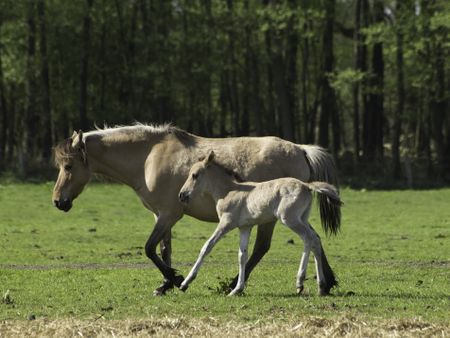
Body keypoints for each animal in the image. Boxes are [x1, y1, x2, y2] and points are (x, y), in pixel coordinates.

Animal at [178, 151, 342, 296]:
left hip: (290, 219)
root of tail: (306, 186)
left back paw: (300, 282)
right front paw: (236, 290)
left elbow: (206, 247)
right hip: (303, 218)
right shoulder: (245, 227)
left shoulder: (225, 224)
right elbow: (242, 256)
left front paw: (185, 283)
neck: (228, 191)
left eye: (195, 175)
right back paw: (320, 286)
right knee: (315, 240)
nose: (182, 195)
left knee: (309, 238)